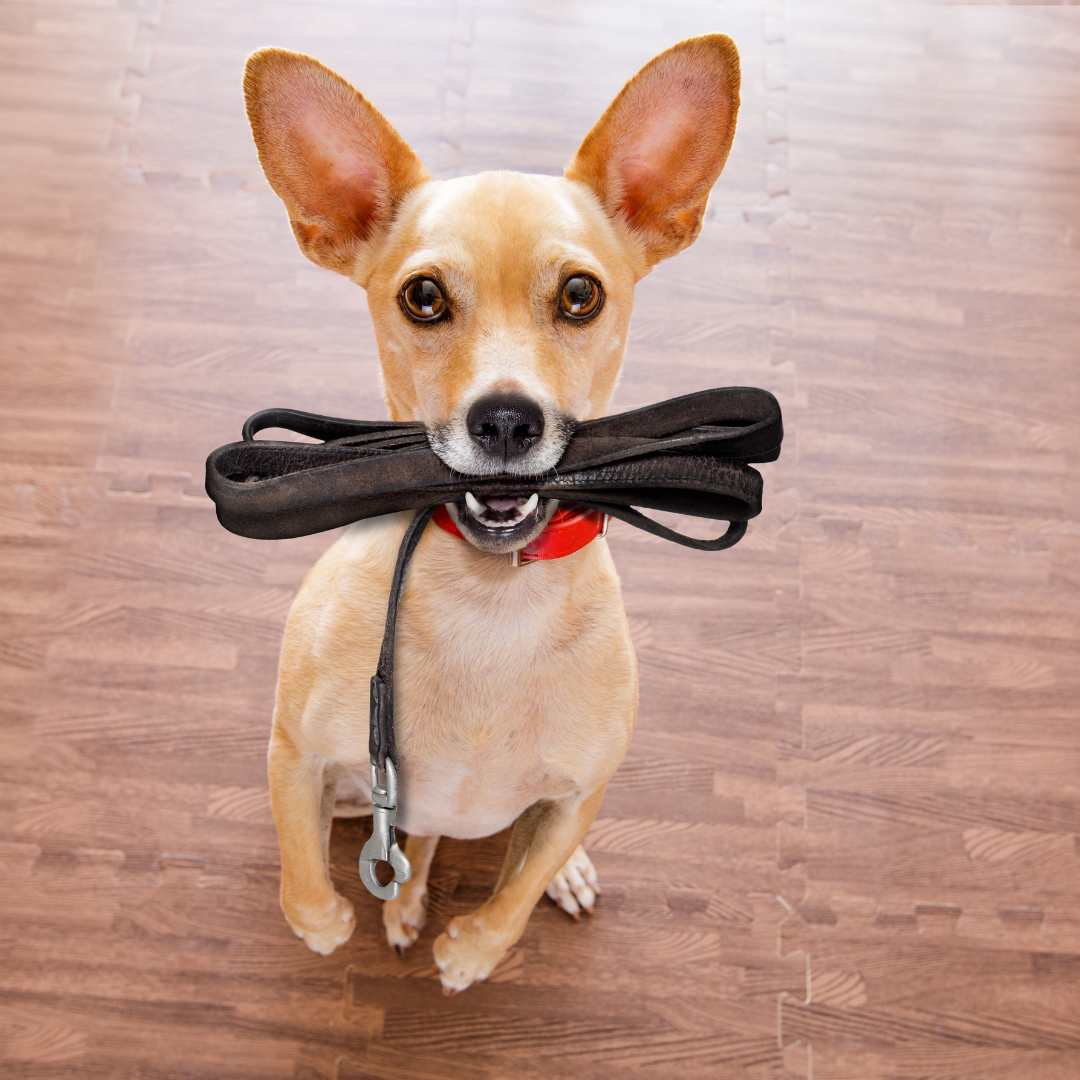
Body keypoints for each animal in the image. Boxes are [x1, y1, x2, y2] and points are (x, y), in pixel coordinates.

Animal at [240, 33, 738, 989]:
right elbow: (300, 875)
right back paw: (401, 899)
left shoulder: (579, 795)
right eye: (423, 297)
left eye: (580, 295)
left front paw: (470, 953)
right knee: (405, 837)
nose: (506, 419)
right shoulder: (297, 756)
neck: (490, 601)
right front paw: (330, 924)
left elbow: (511, 901)